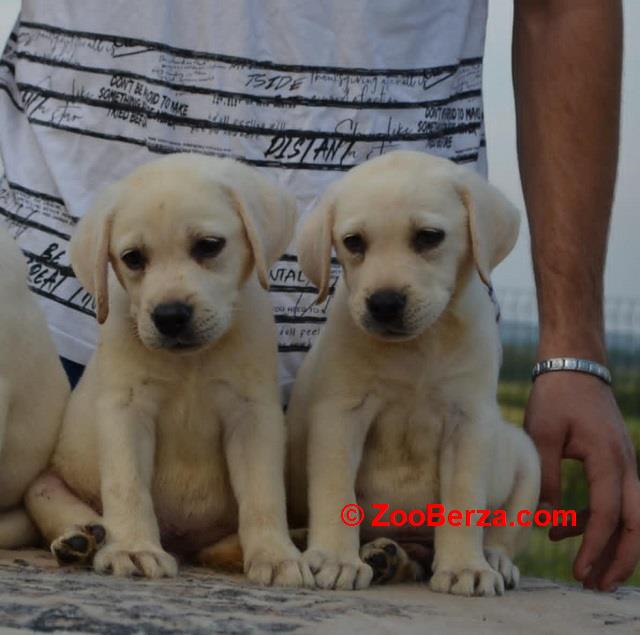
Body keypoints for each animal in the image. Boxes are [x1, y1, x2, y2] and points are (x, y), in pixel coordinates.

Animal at [27, 153, 312, 588]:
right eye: (133, 258)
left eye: (209, 246)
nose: (170, 316)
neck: (190, 362)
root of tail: (184, 544)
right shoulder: (126, 411)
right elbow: (127, 486)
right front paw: (132, 548)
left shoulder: (253, 416)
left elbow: (263, 494)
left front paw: (275, 554)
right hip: (44, 485)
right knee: (62, 508)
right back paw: (83, 539)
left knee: (218, 547)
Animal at [288, 152, 540, 600]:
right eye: (353, 242)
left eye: (429, 237)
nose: (385, 303)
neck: (418, 349)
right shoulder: (340, 415)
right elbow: (335, 493)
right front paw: (336, 558)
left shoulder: (468, 422)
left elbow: (464, 499)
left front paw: (464, 567)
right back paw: (378, 555)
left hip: (528, 459)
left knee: (502, 534)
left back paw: (489, 559)